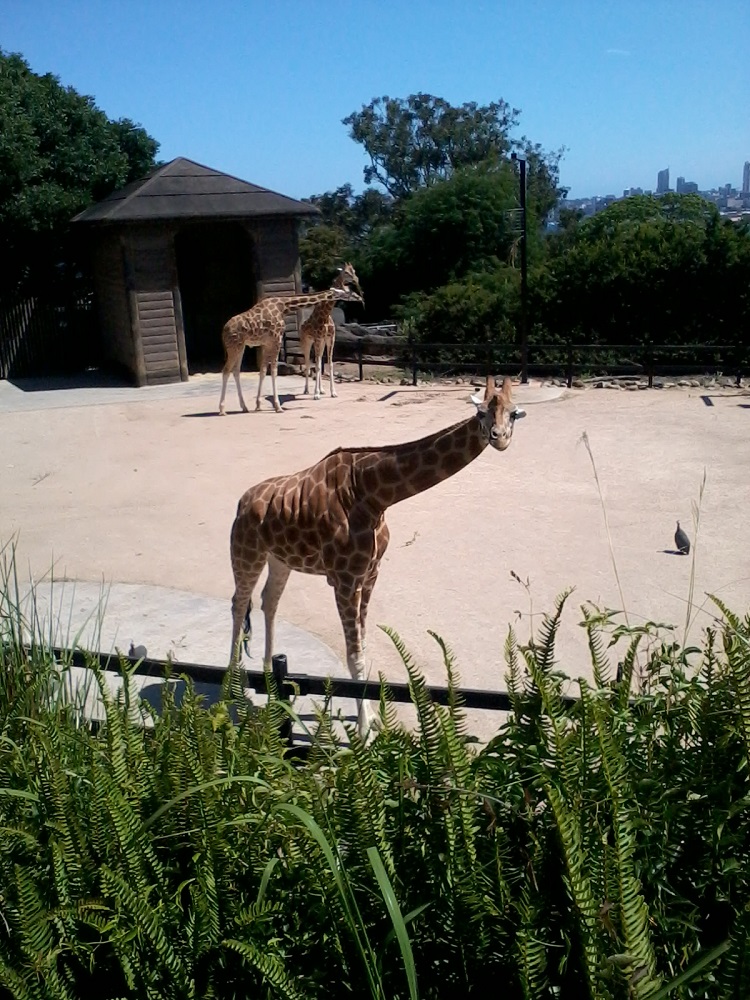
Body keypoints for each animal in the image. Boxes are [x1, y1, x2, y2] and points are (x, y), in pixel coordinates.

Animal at [217, 288, 364, 416]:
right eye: (347, 292)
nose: (359, 297)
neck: (284, 306)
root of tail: (223, 330)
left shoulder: (267, 342)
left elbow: (263, 371)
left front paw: (259, 405)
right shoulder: (277, 338)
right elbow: (274, 371)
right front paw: (278, 407)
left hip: (241, 346)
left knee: (235, 371)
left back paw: (244, 407)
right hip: (234, 346)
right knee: (226, 371)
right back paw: (222, 410)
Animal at [229, 376, 528, 736]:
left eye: (513, 413)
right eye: (481, 412)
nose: (500, 438)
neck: (371, 493)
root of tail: (243, 500)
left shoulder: (370, 574)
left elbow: (364, 647)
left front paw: (370, 720)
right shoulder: (344, 579)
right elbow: (354, 654)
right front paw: (363, 730)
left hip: (279, 558)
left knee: (268, 601)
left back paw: (270, 684)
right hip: (246, 550)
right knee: (238, 603)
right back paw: (234, 694)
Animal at [300, 264, 364, 400]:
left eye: (354, 271)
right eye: (346, 272)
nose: (356, 279)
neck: (326, 315)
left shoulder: (330, 338)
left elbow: (329, 364)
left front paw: (332, 392)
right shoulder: (318, 338)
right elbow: (317, 366)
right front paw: (316, 394)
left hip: (321, 343)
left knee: (318, 361)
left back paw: (321, 390)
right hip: (306, 342)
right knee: (308, 363)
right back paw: (307, 390)